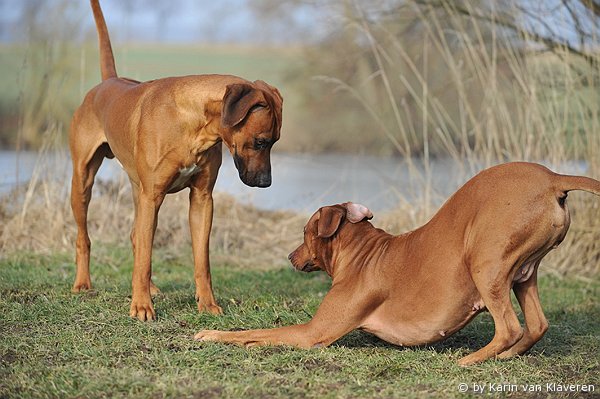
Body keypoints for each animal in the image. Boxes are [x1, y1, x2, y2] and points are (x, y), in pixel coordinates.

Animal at [71, 0, 282, 322]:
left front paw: (207, 303)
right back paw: (84, 283)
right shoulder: (153, 196)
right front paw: (141, 306)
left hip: (138, 190)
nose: (265, 183)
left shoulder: (202, 199)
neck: (194, 125)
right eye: (261, 141)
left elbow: (201, 260)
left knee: (136, 237)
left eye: (274, 142)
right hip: (84, 182)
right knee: (86, 238)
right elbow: (145, 258)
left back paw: (150, 287)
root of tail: (107, 83)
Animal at [197, 162, 600, 366]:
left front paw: (214, 335)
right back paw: (503, 358)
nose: (290, 256)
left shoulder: (313, 332)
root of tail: (552, 177)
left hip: (484, 263)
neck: (363, 252)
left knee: (510, 328)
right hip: (522, 273)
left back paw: (470, 361)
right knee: (537, 324)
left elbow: (254, 333)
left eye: (305, 231)